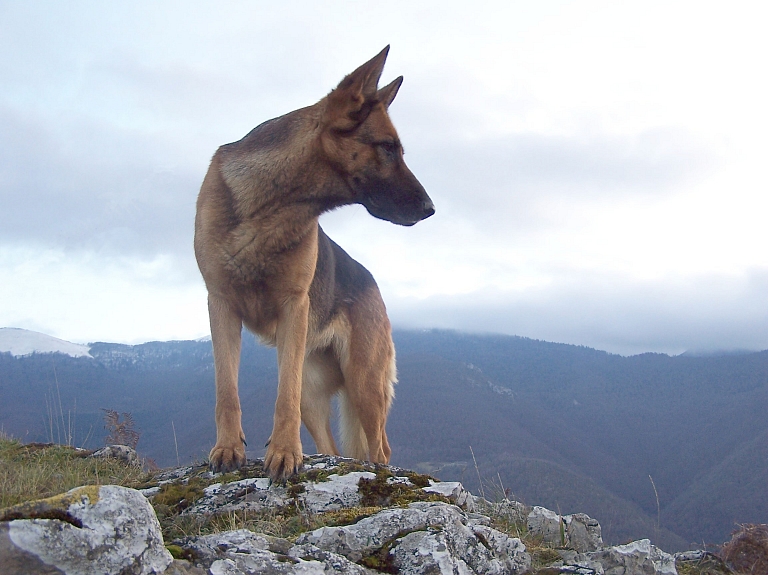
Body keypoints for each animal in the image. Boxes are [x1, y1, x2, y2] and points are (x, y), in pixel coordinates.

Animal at [195, 46, 436, 482]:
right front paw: (227, 449)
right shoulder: (220, 304)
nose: (430, 209)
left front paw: (285, 454)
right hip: (316, 391)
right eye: (388, 147)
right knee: (331, 447)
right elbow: (226, 390)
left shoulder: (294, 306)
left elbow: (282, 398)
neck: (270, 208)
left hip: (364, 384)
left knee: (381, 449)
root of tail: (373, 284)